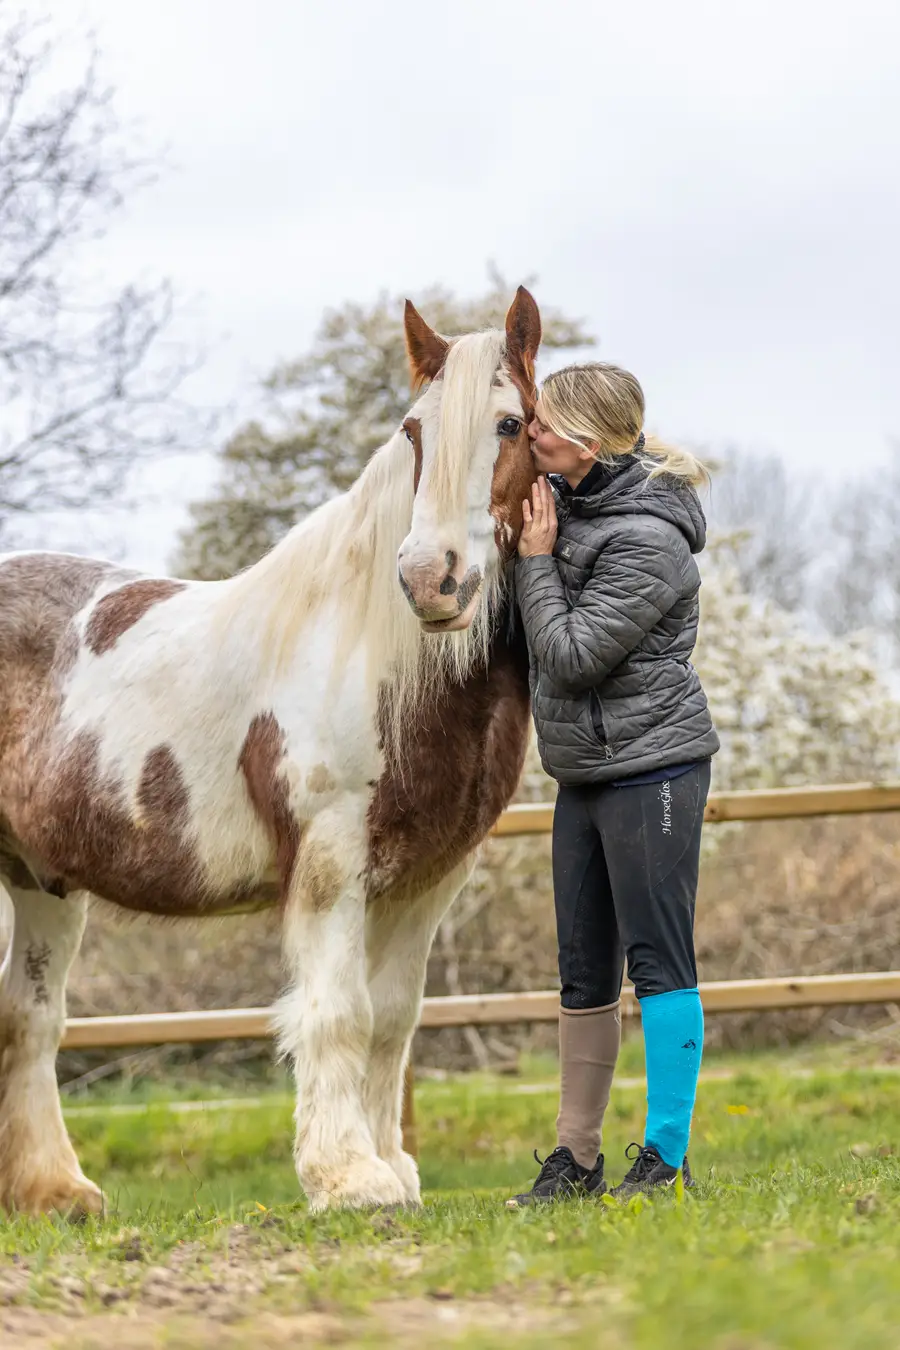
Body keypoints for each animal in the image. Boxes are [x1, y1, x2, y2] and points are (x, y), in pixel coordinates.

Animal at [0, 286, 542, 1215]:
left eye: (510, 424)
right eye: (413, 431)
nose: (430, 578)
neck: (377, 655)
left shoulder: (433, 875)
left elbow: (393, 1017)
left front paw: (391, 1166)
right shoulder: (330, 859)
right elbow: (339, 1011)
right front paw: (348, 1177)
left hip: (42, 883)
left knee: (30, 1017)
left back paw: (55, 1191)